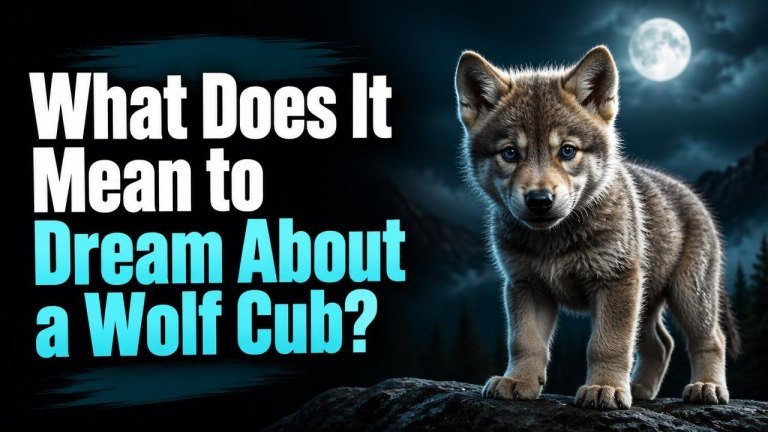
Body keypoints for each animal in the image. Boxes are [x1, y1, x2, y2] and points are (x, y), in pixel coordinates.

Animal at [454, 45, 740, 410]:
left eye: (567, 151)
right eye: (509, 153)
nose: (539, 200)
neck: (555, 240)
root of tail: (694, 197)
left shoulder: (615, 281)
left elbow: (607, 344)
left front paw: (604, 388)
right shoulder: (526, 284)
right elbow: (524, 341)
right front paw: (518, 381)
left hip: (689, 295)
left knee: (710, 338)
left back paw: (706, 387)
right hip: (645, 300)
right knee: (662, 344)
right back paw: (640, 389)